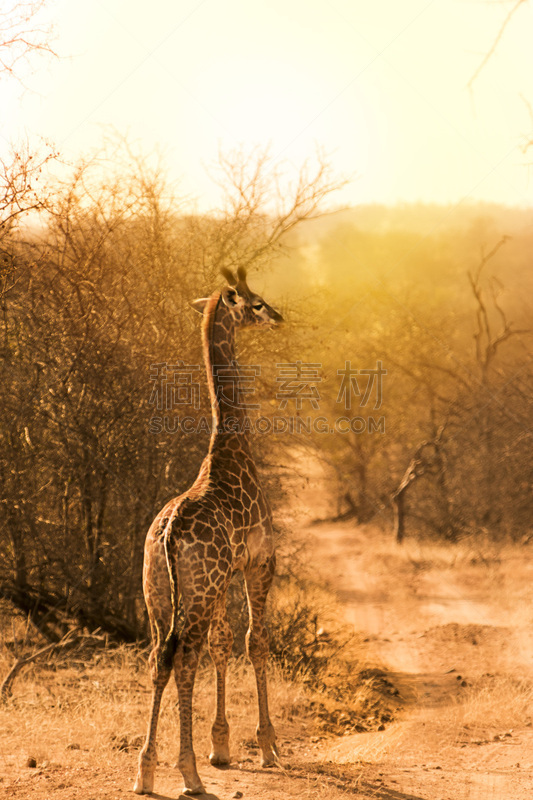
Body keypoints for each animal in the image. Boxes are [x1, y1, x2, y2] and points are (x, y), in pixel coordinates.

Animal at [134, 268, 282, 792]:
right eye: (255, 303)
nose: (279, 316)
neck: (231, 447)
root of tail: (168, 534)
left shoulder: (223, 579)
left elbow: (224, 643)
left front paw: (221, 745)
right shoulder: (261, 562)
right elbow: (254, 641)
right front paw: (268, 746)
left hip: (157, 591)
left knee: (159, 658)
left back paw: (145, 770)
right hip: (193, 594)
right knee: (184, 658)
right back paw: (189, 773)